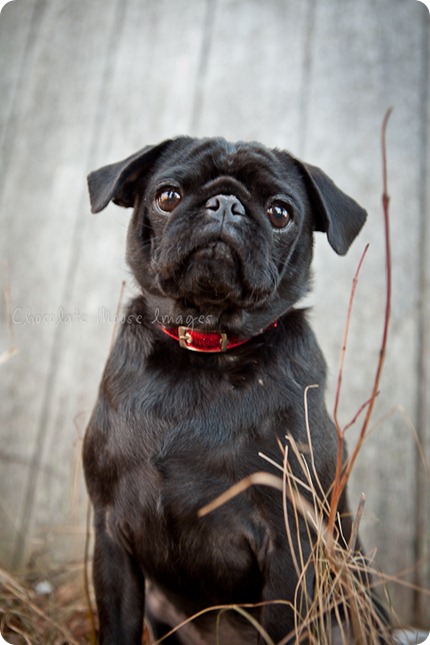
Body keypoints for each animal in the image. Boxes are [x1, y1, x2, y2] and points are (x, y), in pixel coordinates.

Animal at [85, 137, 370, 644]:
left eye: (280, 213)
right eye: (168, 196)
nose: (226, 204)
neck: (205, 350)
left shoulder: (290, 553)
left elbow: (284, 627)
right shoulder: (111, 538)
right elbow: (117, 624)